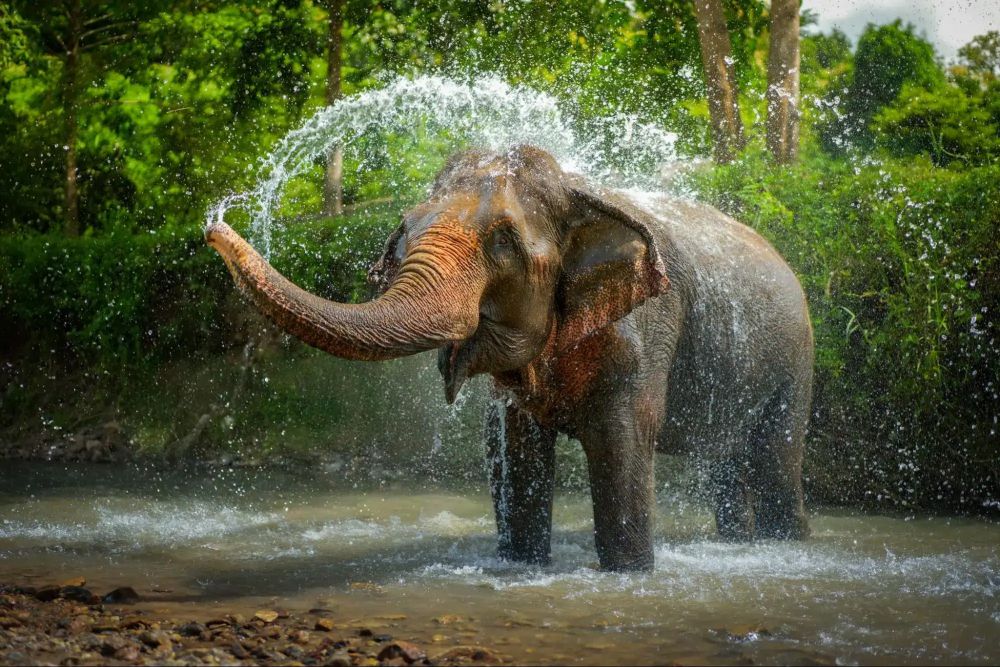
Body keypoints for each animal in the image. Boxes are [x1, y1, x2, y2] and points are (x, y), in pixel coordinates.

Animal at [205, 145, 813, 572]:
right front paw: (522, 564)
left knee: (776, 456)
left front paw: (631, 572)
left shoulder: (646, 330)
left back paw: (788, 544)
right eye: (404, 229)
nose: (214, 223)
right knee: (726, 462)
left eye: (503, 242)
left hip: (795, 360)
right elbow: (517, 447)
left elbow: (621, 440)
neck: (576, 189)